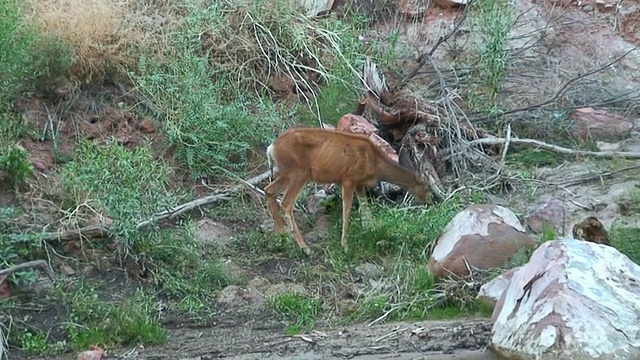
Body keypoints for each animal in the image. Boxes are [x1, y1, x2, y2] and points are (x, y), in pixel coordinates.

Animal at [262, 128, 432, 255]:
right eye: (428, 186)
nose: (430, 201)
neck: (375, 163)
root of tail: (271, 148)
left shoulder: (359, 184)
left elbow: (365, 210)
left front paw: (371, 229)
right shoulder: (348, 179)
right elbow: (347, 212)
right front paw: (345, 246)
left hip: (287, 173)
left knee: (268, 190)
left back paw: (283, 237)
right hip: (299, 173)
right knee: (286, 204)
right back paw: (305, 248)